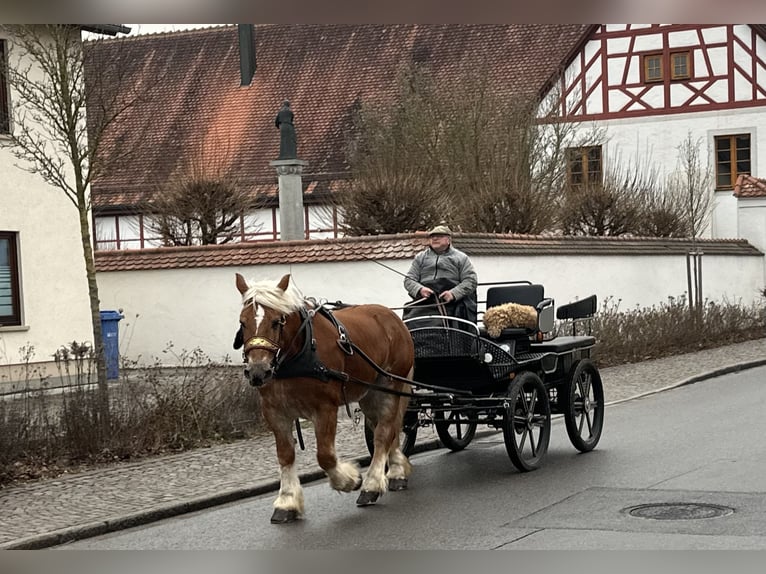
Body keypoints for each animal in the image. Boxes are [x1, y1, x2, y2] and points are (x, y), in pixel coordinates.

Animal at [234, 274, 416, 528]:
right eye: (243, 322)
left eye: (277, 321)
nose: (257, 371)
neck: (299, 352)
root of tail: (392, 317)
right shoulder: (274, 411)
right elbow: (285, 455)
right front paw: (287, 501)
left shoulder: (325, 408)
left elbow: (325, 455)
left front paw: (349, 480)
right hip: (371, 393)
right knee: (386, 428)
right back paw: (397, 469)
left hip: (391, 386)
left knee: (383, 433)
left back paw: (371, 485)